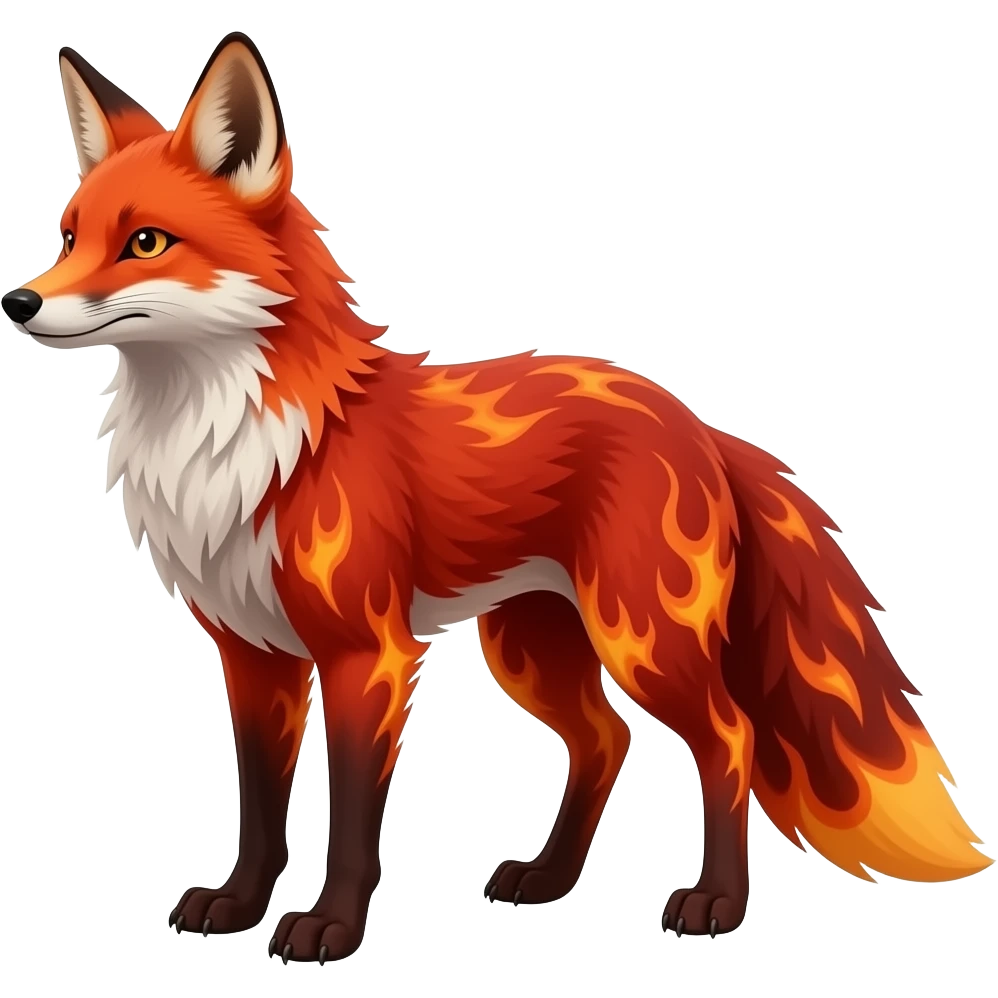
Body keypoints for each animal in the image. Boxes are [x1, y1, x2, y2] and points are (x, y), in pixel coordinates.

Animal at [4, 32, 992, 964]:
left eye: (145, 243)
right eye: (68, 237)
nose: (19, 301)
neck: (243, 445)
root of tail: (697, 423)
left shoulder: (367, 655)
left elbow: (351, 819)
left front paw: (331, 928)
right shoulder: (254, 654)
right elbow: (257, 809)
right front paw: (241, 907)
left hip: (642, 639)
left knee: (729, 738)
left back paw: (716, 902)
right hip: (530, 650)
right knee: (606, 740)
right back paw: (550, 879)